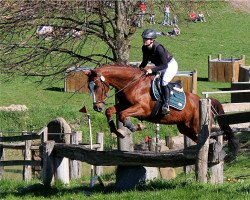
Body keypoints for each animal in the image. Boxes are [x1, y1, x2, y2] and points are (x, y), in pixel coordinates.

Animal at [83, 64, 239, 155]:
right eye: (89, 87)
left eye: (97, 86)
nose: (97, 107)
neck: (132, 83)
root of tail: (204, 101)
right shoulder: (125, 105)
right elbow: (110, 111)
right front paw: (118, 132)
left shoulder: (143, 109)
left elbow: (122, 115)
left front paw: (134, 126)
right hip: (185, 128)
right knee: (208, 137)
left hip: (196, 126)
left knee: (214, 134)